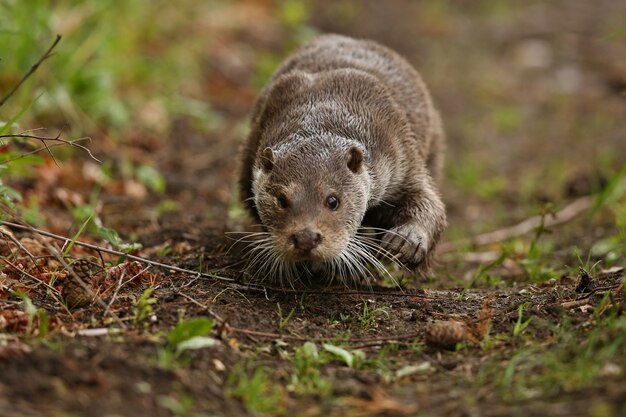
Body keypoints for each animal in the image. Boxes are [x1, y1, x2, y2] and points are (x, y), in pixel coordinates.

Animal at [236, 34, 446, 284]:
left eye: (333, 201)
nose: (306, 238)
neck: (324, 108)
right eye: (282, 200)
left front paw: (408, 240)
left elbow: (427, 199)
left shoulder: (401, 155)